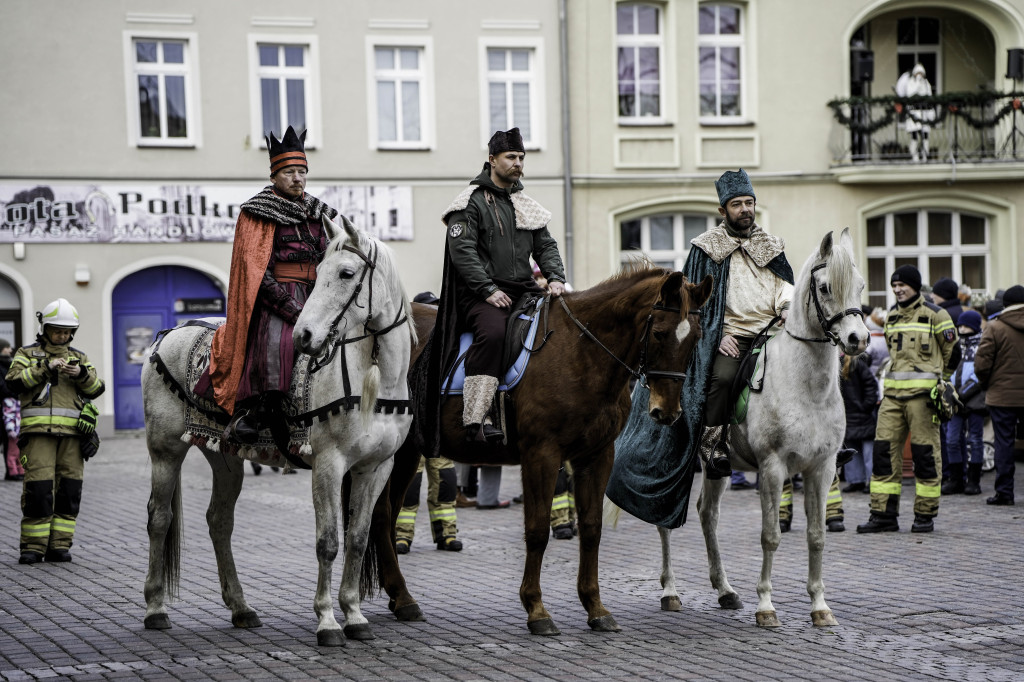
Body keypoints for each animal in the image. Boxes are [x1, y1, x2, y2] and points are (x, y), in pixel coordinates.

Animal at [142, 215, 413, 647]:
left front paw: (354, 615)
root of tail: (170, 333)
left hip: (224, 456)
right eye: (319, 271)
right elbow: (328, 542)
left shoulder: (376, 467)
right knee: (160, 518)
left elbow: (357, 539)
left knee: (219, 520)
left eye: (346, 273)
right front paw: (327, 621)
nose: (304, 336)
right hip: (165, 450)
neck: (373, 380)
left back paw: (241, 608)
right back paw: (155, 608)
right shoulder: (328, 466)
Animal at [364, 262, 716, 634]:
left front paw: (595, 606)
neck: (581, 353)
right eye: (660, 333)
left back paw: (398, 597)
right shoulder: (542, 455)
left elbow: (591, 528)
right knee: (381, 514)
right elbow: (537, 530)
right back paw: (400, 597)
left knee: (386, 514)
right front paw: (536, 608)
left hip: (407, 452)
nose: (668, 411)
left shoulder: (597, 456)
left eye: (695, 337)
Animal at [659, 227, 868, 626]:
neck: (806, 388)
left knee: (707, 515)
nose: (859, 340)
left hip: (714, 469)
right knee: (663, 517)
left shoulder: (822, 468)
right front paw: (766, 606)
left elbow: (817, 536)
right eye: (824, 288)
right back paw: (670, 591)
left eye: (861, 285)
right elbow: (770, 535)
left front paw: (820, 607)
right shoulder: (773, 467)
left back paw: (725, 590)